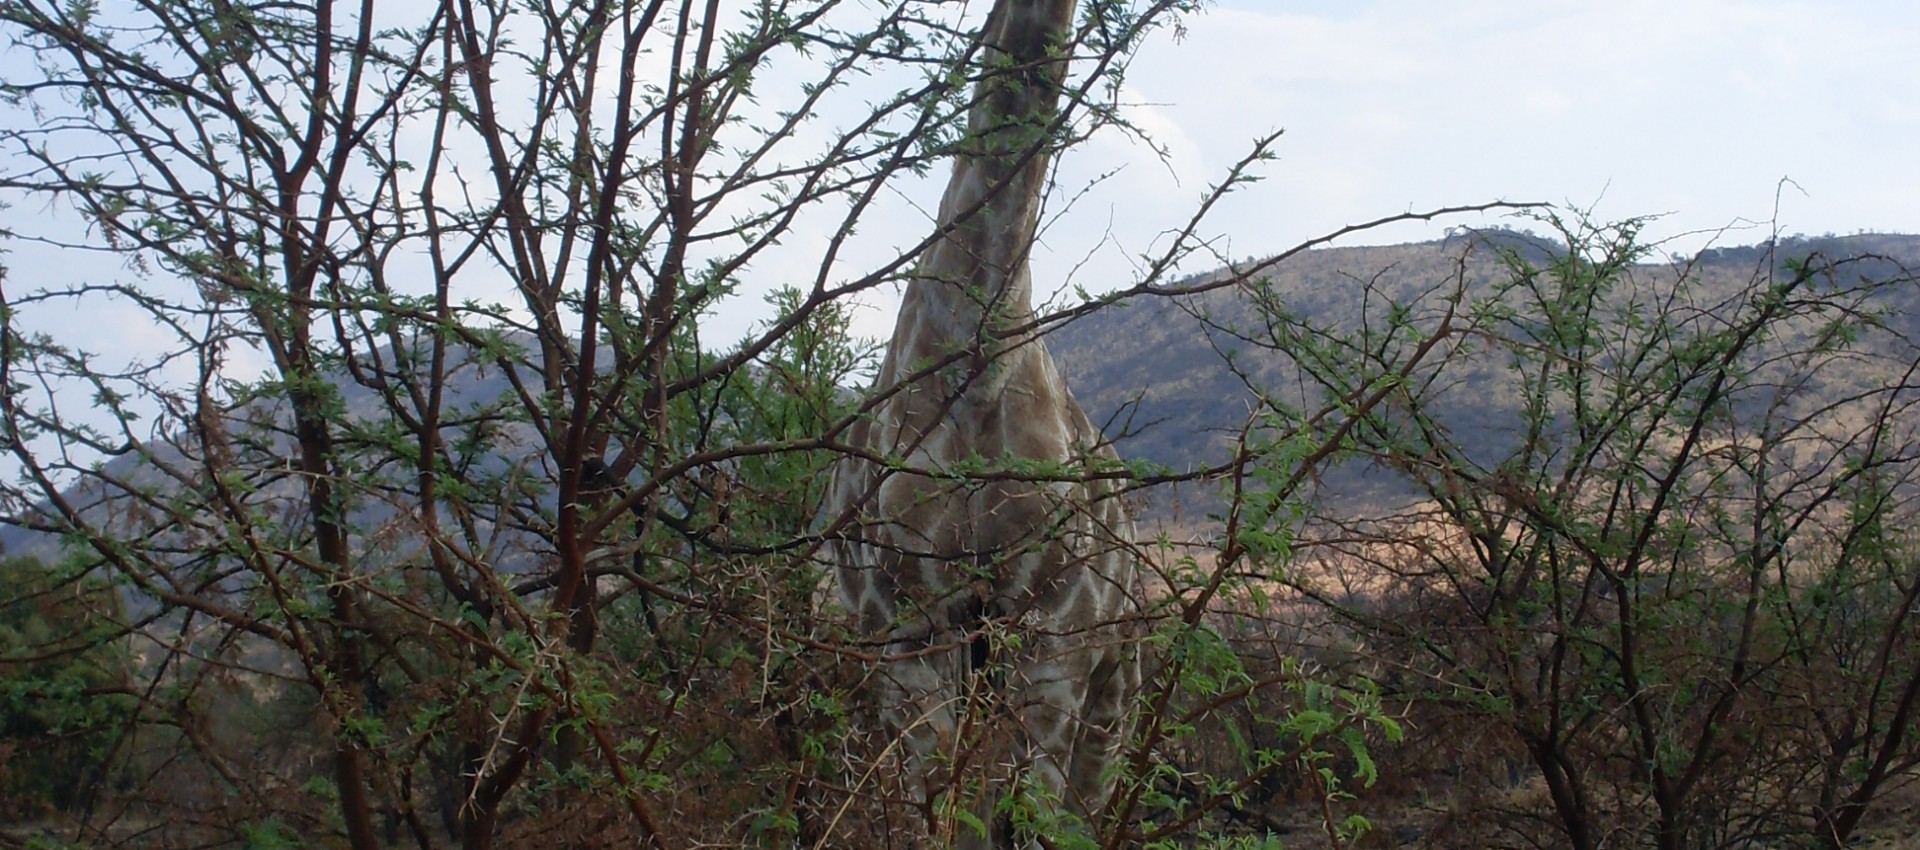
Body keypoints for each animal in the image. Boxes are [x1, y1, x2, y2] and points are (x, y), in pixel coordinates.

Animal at [821, 3, 1136, 848]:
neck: (978, 351)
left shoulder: (1053, 629)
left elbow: (1028, 815)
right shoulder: (909, 623)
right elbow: (939, 812)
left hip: (1113, 669)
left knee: (1085, 804)